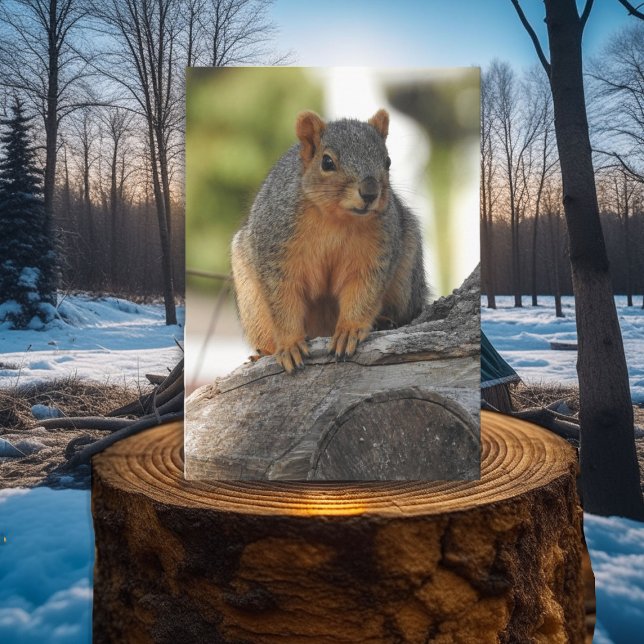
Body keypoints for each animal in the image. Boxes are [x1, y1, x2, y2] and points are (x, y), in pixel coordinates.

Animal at [231, 108, 427, 373]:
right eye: (327, 162)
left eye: (387, 162)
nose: (370, 192)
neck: (337, 219)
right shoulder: (275, 248)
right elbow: (283, 298)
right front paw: (290, 344)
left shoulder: (377, 252)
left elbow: (363, 291)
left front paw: (349, 331)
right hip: (251, 301)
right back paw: (264, 352)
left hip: (407, 273)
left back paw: (385, 321)